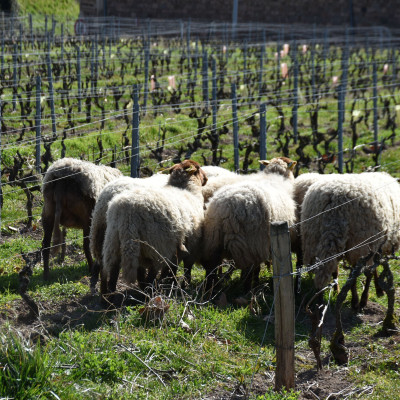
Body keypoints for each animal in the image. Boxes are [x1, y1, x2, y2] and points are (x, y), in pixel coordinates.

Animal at [100, 159, 208, 296]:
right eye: (198, 168)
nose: (206, 178)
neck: (187, 189)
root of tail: (128, 212)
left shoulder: (176, 244)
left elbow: (173, 265)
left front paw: (170, 282)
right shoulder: (192, 243)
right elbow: (185, 267)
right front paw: (182, 284)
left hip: (113, 239)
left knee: (111, 270)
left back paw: (109, 298)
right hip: (156, 244)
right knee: (152, 272)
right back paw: (149, 293)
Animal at [200, 157, 296, 294]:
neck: (274, 176)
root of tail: (227, 208)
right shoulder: (262, 243)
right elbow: (259, 266)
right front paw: (258, 280)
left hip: (213, 239)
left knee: (211, 269)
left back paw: (211, 290)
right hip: (250, 243)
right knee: (248, 271)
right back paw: (247, 291)